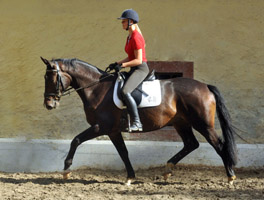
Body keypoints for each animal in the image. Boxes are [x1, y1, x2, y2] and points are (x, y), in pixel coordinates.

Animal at [41, 57, 237, 184]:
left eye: (51, 78)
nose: (49, 104)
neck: (96, 88)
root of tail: (205, 87)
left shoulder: (101, 127)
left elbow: (76, 140)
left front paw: (66, 170)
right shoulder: (113, 131)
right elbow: (123, 152)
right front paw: (130, 177)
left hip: (202, 124)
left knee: (218, 145)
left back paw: (230, 177)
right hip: (181, 123)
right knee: (191, 144)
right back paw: (167, 169)